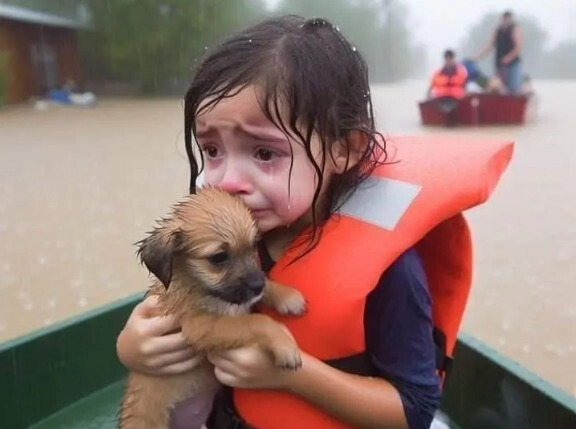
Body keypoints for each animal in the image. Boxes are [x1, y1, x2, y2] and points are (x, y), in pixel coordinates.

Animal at [117, 188, 306, 428]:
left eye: (253, 245)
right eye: (219, 257)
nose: (257, 286)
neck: (198, 286)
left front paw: (287, 297)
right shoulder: (199, 326)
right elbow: (255, 321)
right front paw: (284, 345)